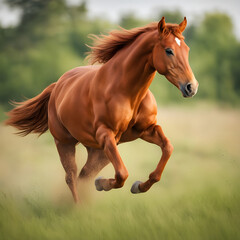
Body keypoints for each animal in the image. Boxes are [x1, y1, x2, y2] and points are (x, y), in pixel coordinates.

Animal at [5, 16, 199, 202]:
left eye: (187, 50)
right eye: (169, 50)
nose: (191, 87)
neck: (127, 92)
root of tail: (57, 86)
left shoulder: (146, 130)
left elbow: (167, 149)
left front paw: (138, 186)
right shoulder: (105, 134)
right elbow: (122, 174)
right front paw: (103, 184)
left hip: (98, 151)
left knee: (84, 175)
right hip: (65, 143)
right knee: (72, 176)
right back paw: (78, 207)